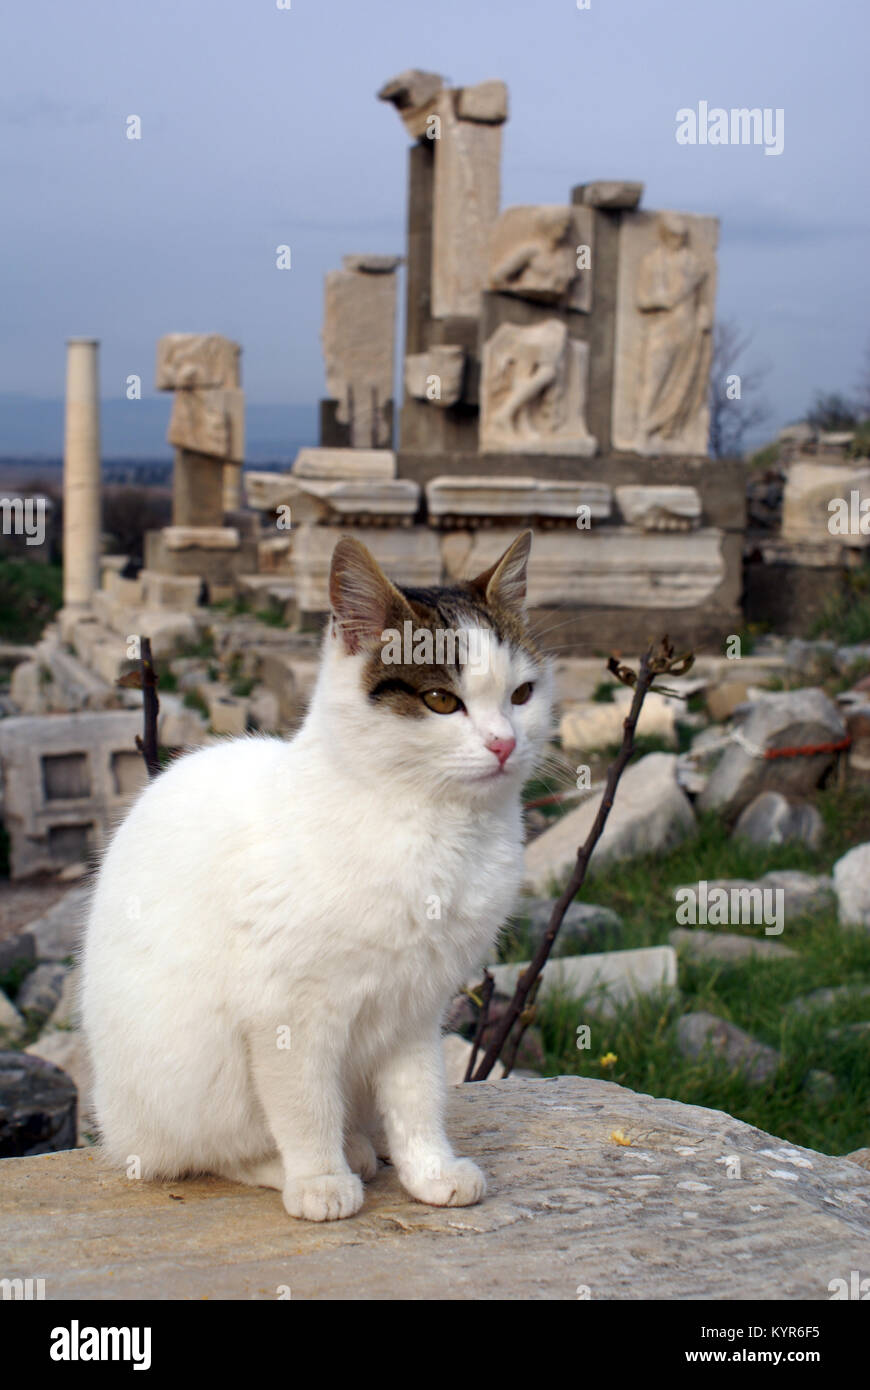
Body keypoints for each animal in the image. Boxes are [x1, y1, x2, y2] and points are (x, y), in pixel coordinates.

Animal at [84, 525, 553, 1223]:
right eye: (441, 700)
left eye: (521, 696)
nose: (504, 744)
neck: (433, 826)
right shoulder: (289, 1012)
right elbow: (305, 1107)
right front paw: (319, 1180)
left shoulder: (417, 1007)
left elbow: (420, 1098)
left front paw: (430, 1171)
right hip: (192, 1076)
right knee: (207, 1152)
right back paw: (303, 1165)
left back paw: (364, 1146)